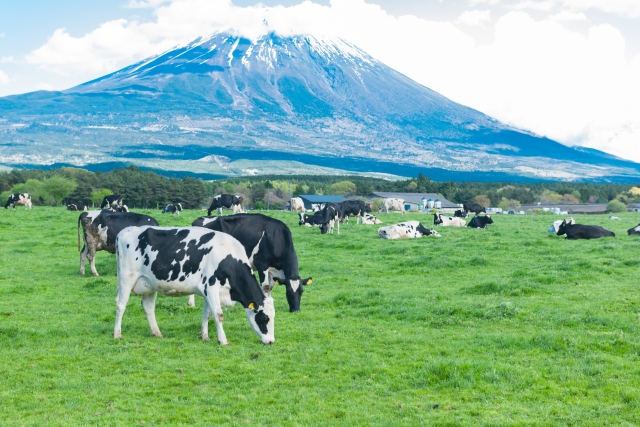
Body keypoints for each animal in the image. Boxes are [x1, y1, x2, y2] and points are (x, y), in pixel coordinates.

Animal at [115, 226, 276, 346]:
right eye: (264, 318)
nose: (271, 341)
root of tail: (125, 231)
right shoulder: (211, 286)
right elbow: (219, 315)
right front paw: (223, 340)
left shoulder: (207, 291)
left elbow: (207, 313)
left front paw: (204, 336)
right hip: (126, 279)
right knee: (120, 304)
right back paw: (117, 334)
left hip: (150, 284)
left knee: (148, 307)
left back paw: (157, 332)